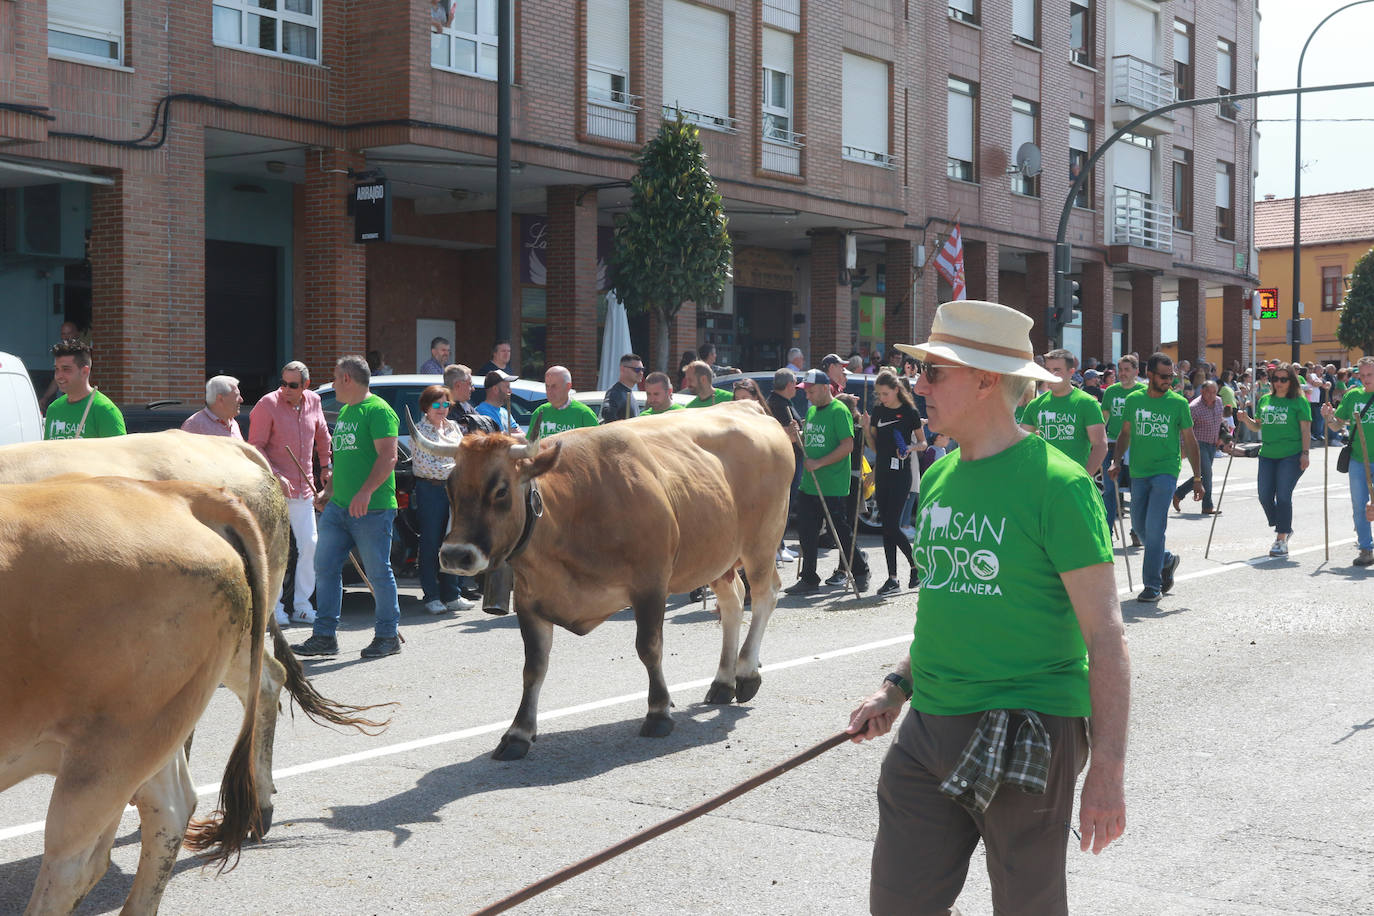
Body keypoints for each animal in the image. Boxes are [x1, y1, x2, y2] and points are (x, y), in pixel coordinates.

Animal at [406, 401, 791, 758]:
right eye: (449, 486)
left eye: (500, 490)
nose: (455, 554)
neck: (574, 508)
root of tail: (745, 406)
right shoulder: (530, 602)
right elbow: (534, 667)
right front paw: (518, 733)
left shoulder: (651, 585)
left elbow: (649, 648)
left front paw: (658, 712)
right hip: (717, 556)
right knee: (732, 603)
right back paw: (724, 681)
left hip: (761, 543)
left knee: (765, 595)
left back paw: (746, 673)